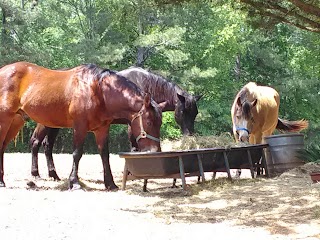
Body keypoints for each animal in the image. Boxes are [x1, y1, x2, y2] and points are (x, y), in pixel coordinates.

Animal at [29, 66, 200, 181]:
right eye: (183, 111)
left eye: (195, 113)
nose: (189, 134)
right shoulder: (133, 124)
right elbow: (134, 146)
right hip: (46, 124)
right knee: (36, 142)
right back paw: (36, 174)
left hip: (54, 126)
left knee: (47, 145)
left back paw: (53, 174)